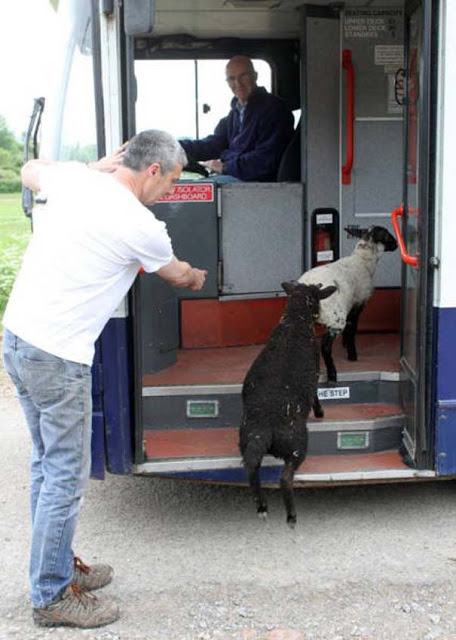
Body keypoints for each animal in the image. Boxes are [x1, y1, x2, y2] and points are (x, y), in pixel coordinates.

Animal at [239, 282, 334, 528]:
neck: (295, 320)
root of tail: (265, 430)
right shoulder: (315, 371)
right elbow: (316, 394)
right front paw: (320, 411)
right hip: (296, 445)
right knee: (285, 478)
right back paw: (291, 516)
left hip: (247, 441)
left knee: (251, 468)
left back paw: (262, 507)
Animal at [298, 228, 398, 382]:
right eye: (387, 235)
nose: (397, 244)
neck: (363, 261)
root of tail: (309, 285)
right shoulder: (359, 302)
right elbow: (352, 328)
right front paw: (352, 354)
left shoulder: (351, 303)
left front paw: (345, 344)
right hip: (335, 316)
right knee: (325, 346)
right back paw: (332, 374)